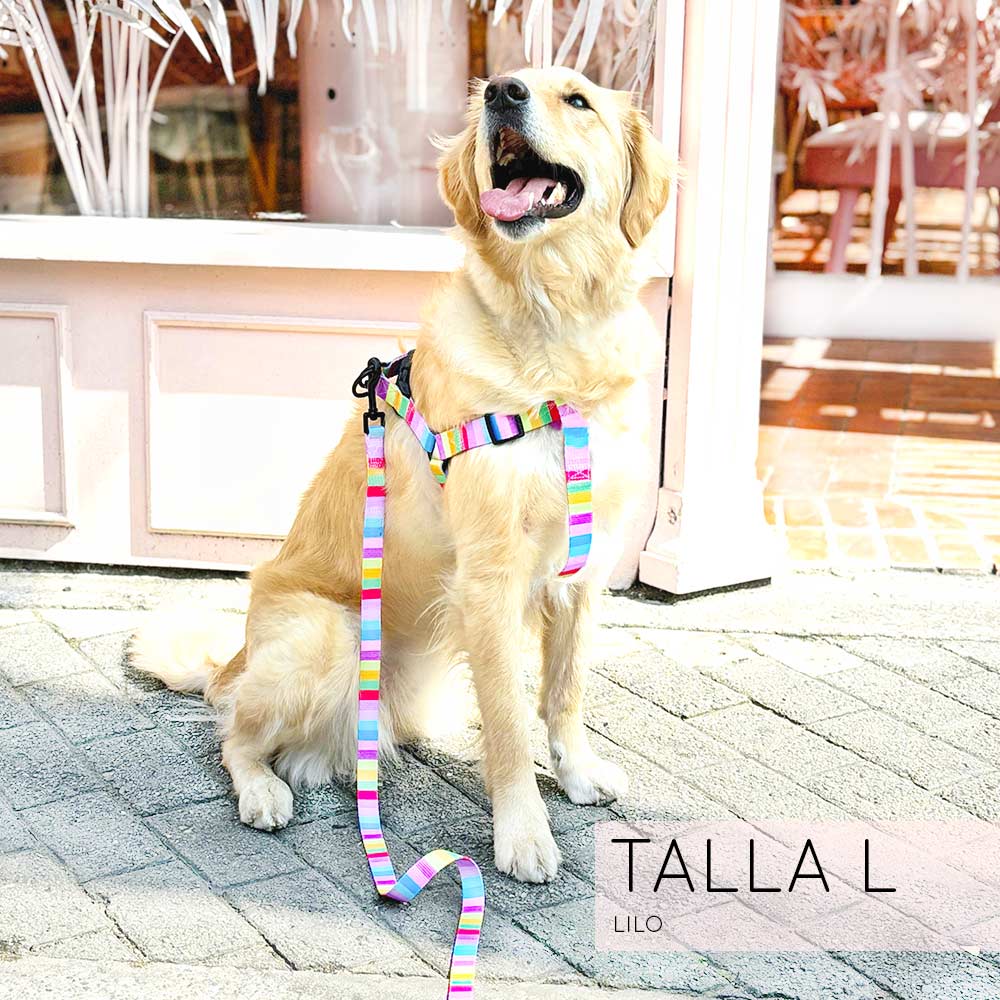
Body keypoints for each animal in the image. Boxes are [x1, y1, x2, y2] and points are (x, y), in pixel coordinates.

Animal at [131, 66, 672, 884]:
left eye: (577, 100)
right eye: (509, 85)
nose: (503, 92)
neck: (555, 336)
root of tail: (234, 662)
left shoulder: (582, 569)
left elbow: (565, 693)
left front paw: (577, 774)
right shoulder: (489, 575)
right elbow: (509, 724)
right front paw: (523, 832)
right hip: (327, 637)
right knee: (231, 734)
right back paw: (263, 789)